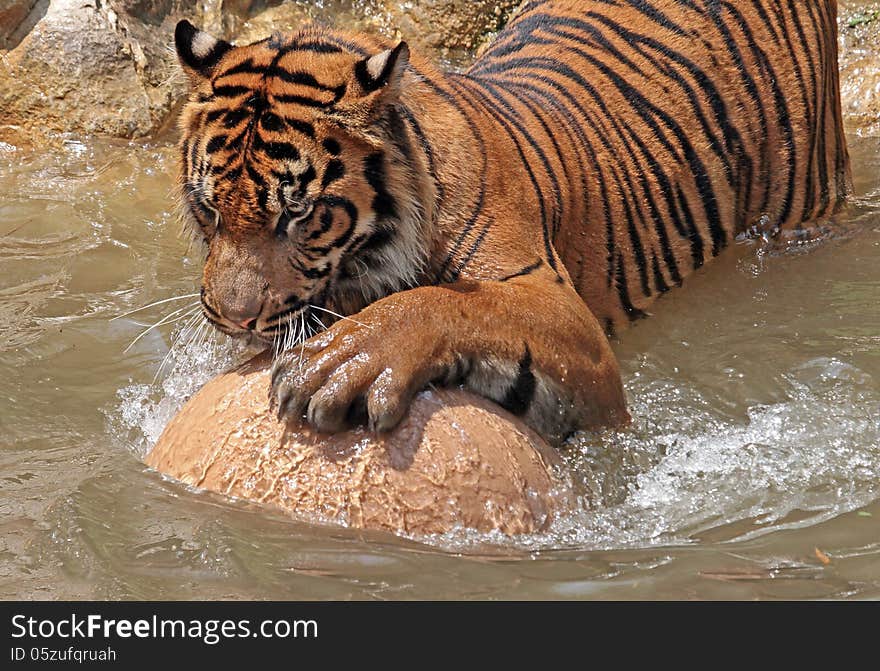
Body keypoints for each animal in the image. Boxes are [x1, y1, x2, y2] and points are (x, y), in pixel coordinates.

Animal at [174, 1, 852, 446]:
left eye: (301, 214)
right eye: (211, 208)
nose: (232, 319)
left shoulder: (563, 313)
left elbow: (445, 302)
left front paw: (339, 361)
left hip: (804, 197)